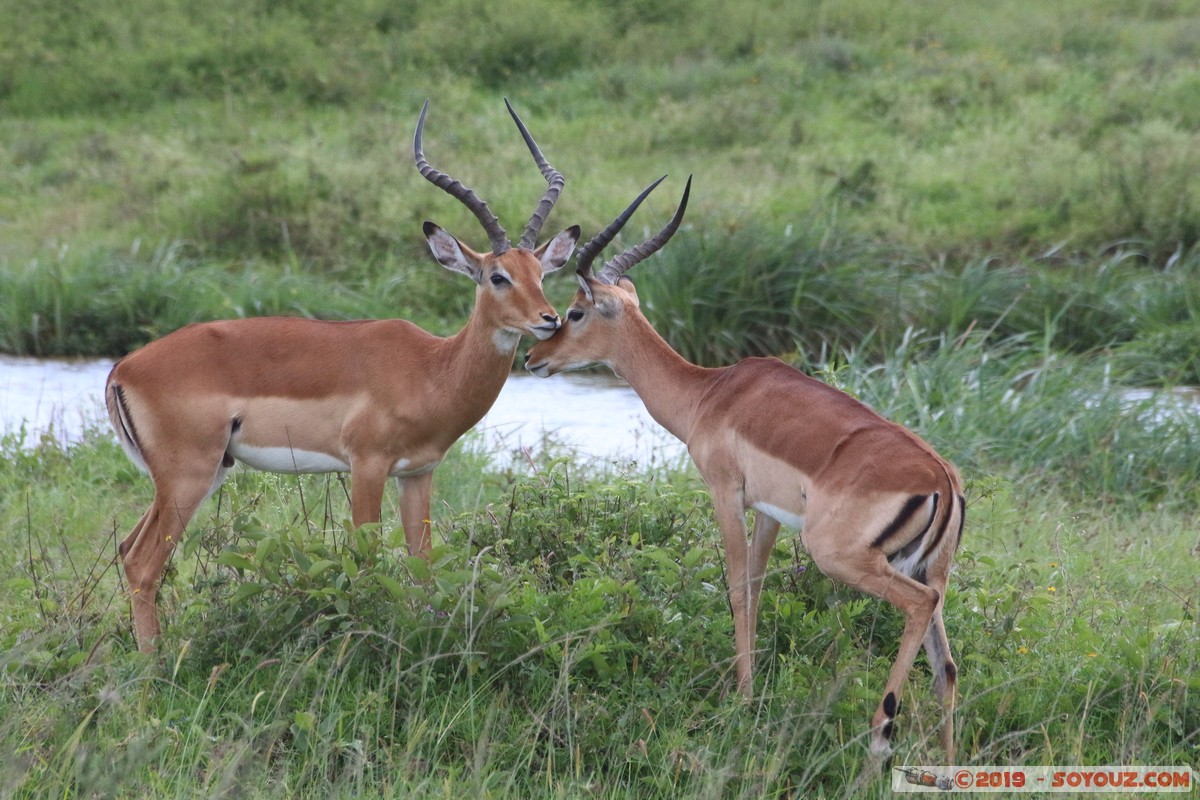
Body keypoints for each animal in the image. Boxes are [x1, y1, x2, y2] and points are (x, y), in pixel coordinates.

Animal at [108, 98, 580, 652]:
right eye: (497, 276)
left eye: (541, 274)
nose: (549, 319)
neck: (431, 368)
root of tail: (123, 368)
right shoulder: (366, 466)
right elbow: (367, 563)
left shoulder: (417, 473)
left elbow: (423, 566)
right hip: (189, 475)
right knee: (143, 565)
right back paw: (153, 667)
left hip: (196, 475)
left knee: (126, 548)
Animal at [525, 178, 964, 767]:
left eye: (575, 312)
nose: (533, 358)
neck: (709, 393)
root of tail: (941, 478)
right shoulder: (770, 513)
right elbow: (756, 588)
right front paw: (750, 691)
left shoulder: (724, 493)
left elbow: (734, 587)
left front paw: (742, 699)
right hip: (930, 568)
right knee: (946, 668)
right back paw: (944, 766)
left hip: (849, 560)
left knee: (918, 611)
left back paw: (879, 737)